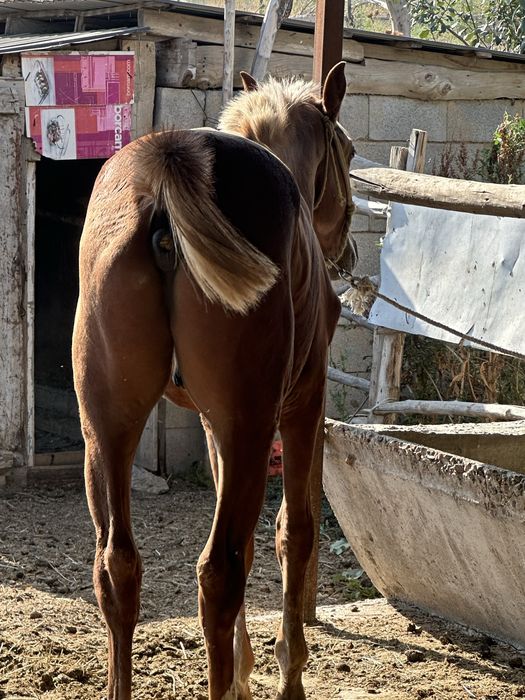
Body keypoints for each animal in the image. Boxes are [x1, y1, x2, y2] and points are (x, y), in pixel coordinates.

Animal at [72, 61, 355, 700]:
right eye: (348, 151)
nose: (349, 247)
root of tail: (167, 167)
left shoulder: (210, 423)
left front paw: (247, 670)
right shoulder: (301, 409)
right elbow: (293, 532)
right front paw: (286, 674)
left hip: (107, 431)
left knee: (117, 565)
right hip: (251, 428)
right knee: (220, 570)